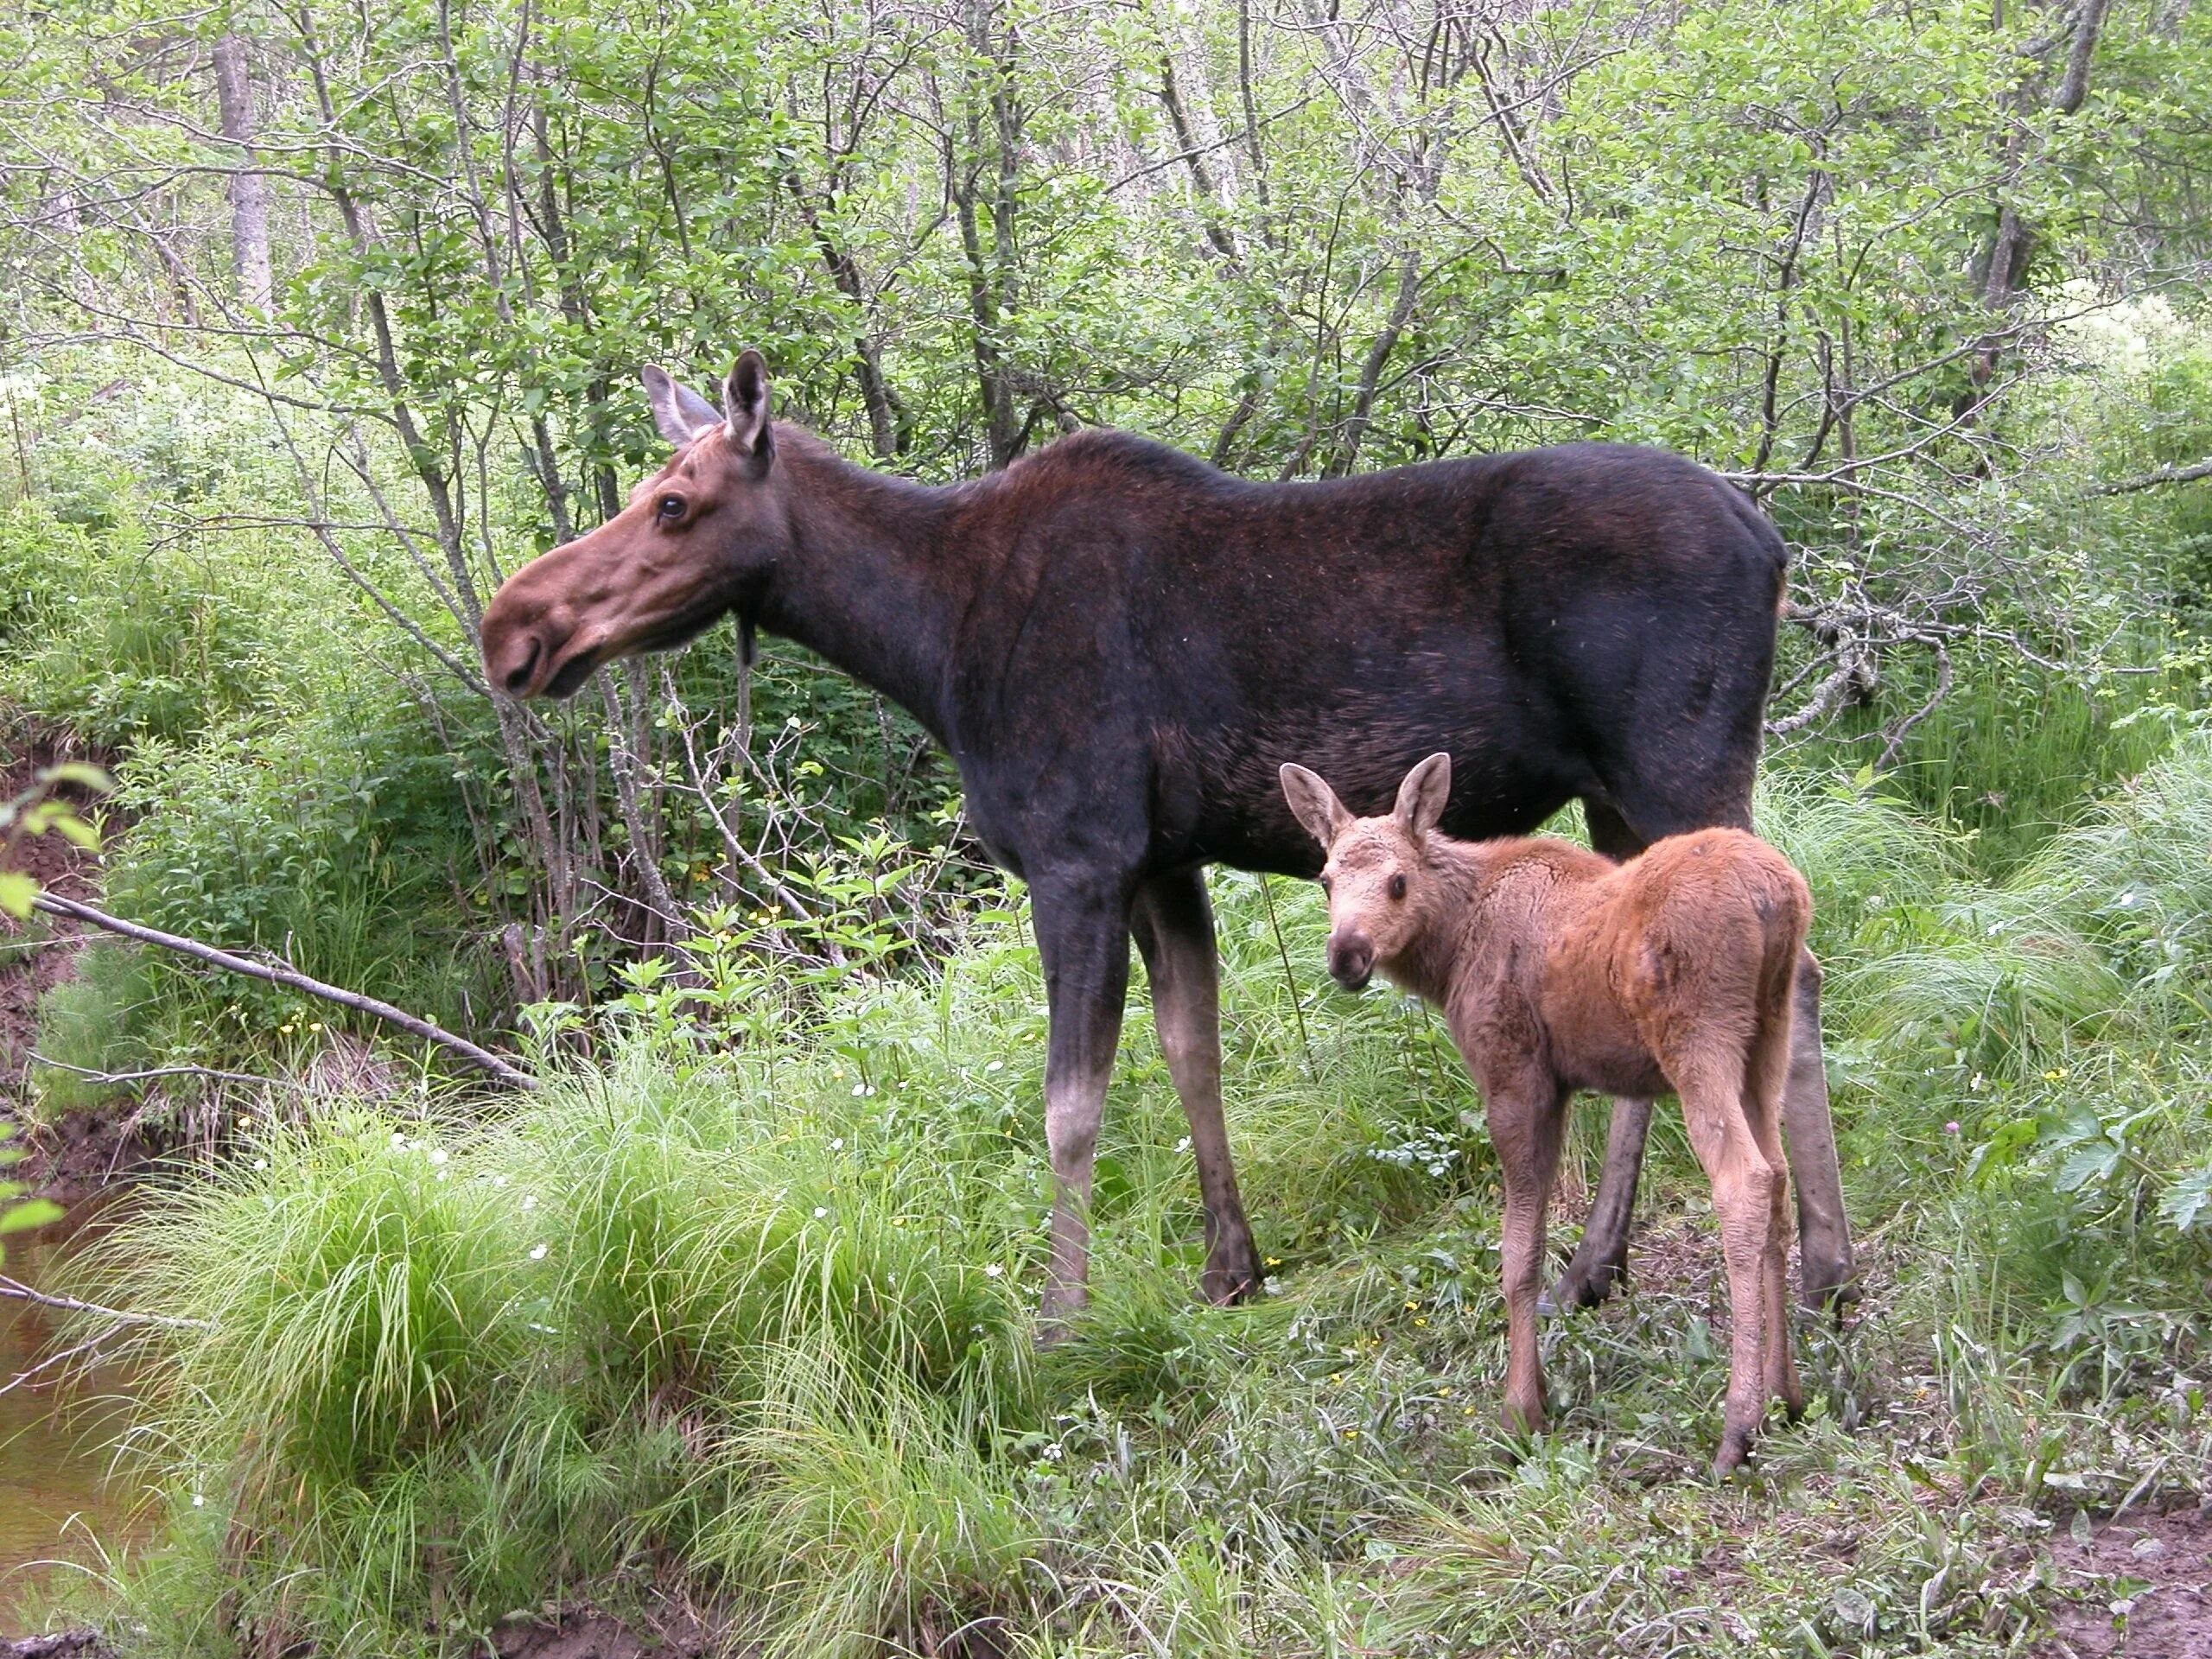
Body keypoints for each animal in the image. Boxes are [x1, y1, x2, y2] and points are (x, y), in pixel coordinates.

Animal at [480, 353, 1849, 1336]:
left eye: (674, 503)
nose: (511, 628)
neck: (924, 642)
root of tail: (1777, 548)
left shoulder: (1076, 856)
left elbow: (1070, 1106)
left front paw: (1060, 1321)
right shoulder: (1163, 859)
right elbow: (1194, 1053)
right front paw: (1229, 1268)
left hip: (1680, 765)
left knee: (1797, 972)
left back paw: (1825, 1264)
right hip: (1621, 796)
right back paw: (1596, 1265)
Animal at [1282, 752, 1814, 1468]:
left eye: (1397, 881)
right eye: (1325, 879)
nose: (1347, 955)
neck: (1449, 952)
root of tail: (1774, 898)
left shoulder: (1515, 1074)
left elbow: (1519, 1254)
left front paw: (1521, 1412)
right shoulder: (1559, 1085)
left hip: (1698, 1038)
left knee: (1746, 1181)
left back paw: (1740, 1424)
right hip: (1768, 1035)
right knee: (1780, 1176)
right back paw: (1788, 1393)